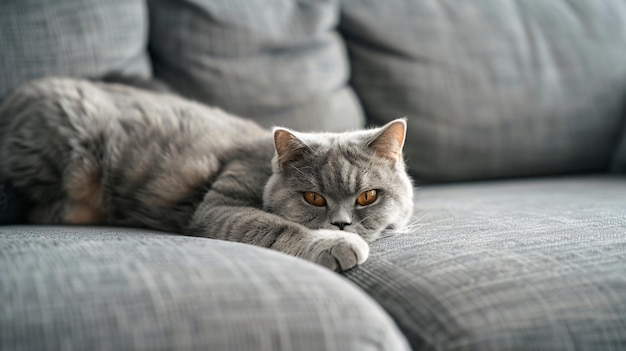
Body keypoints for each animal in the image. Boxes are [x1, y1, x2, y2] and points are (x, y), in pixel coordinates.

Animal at [1, 78, 414, 274]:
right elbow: (277, 226)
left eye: (367, 196)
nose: (342, 224)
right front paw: (336, 244)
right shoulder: (219, 207)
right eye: (313, 198)